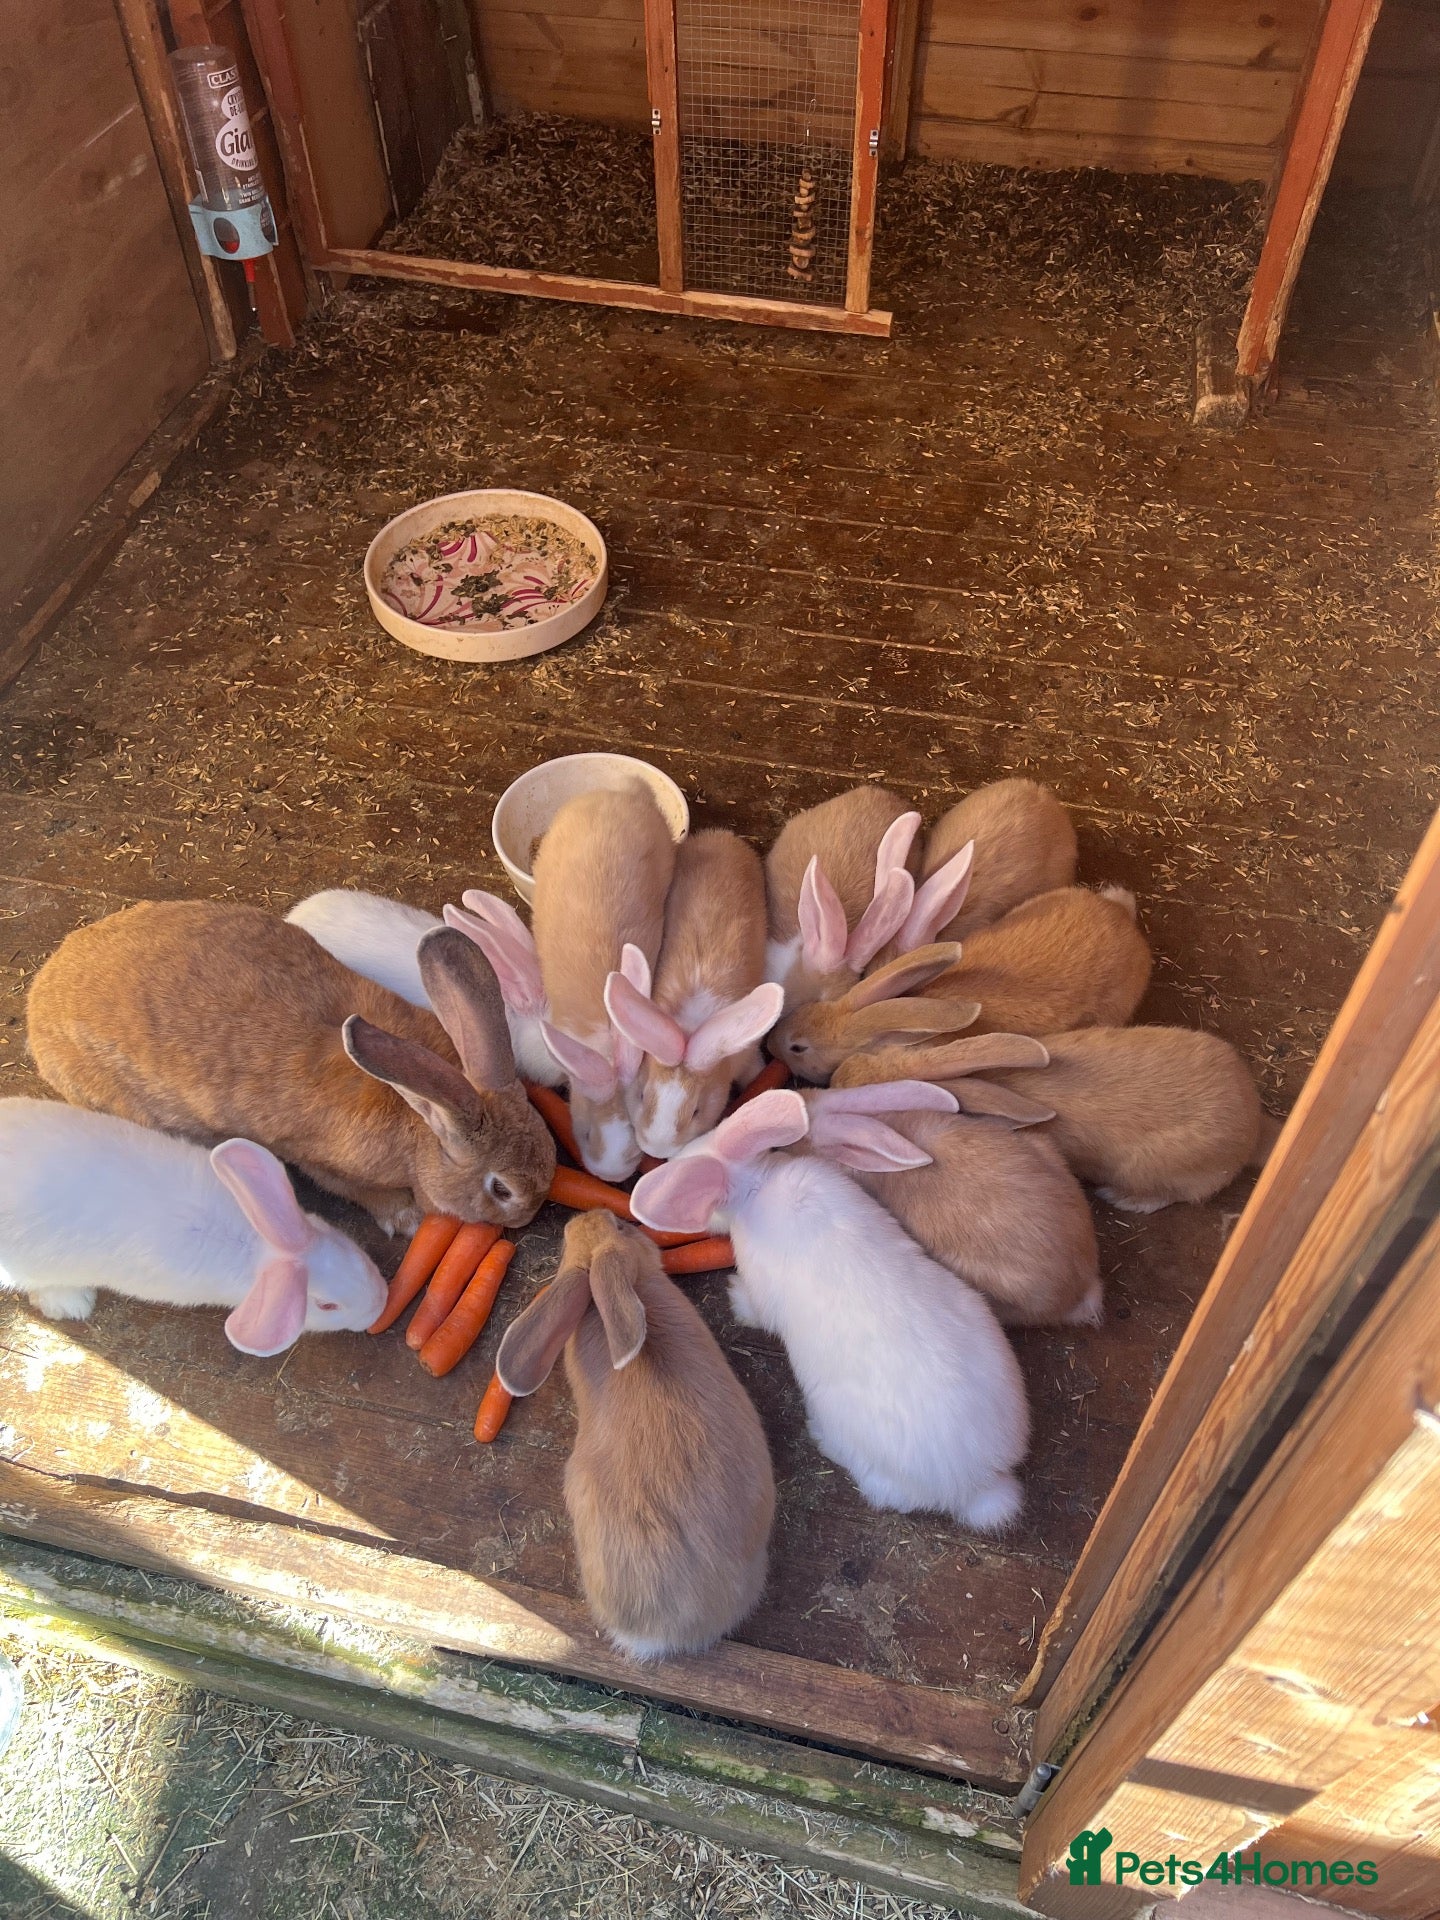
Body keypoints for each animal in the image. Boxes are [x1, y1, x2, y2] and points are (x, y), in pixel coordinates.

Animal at [26, 902, 555, 1237]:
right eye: (501, 1189)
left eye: (549, 1145)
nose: (527, 1218)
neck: (420, 1117)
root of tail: (38, 999)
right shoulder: (315, 1157)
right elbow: (352, 1188)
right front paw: (404, 1219)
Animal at [631, 1089, 1030, 1531]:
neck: (757, 1186)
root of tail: (977, 1482)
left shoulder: (761, 1286)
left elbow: (757, 1310)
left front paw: (736, 1299)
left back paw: (819, 1436)